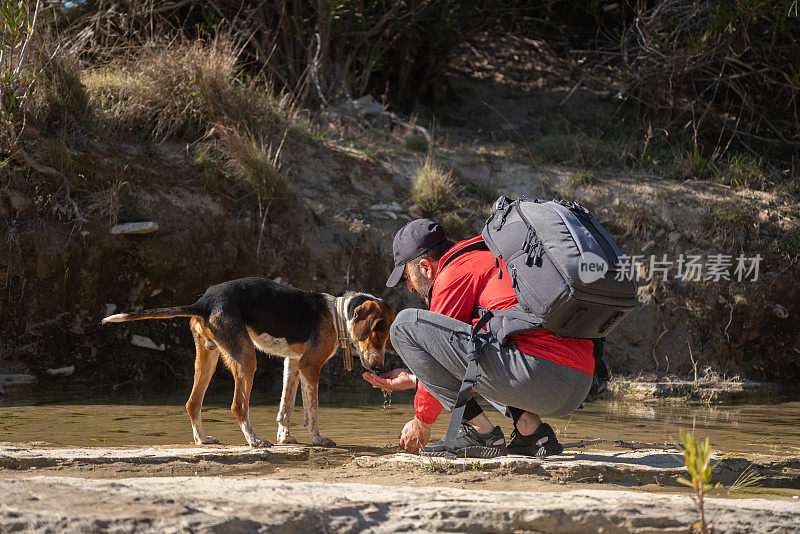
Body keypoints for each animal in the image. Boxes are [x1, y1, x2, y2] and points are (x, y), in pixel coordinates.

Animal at [103, 278, 394, 450]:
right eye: (378, 334)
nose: (379, 370)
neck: (336, 315)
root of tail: (204, 302)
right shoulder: (310, 366)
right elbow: (312, 411)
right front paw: (317, 439)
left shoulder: (293, 364)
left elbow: (285, 408)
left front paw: (284, 437)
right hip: (246, 359)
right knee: (238, 405)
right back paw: (253, 441)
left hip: (208, 360)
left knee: (192, 403)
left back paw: (203, 439)